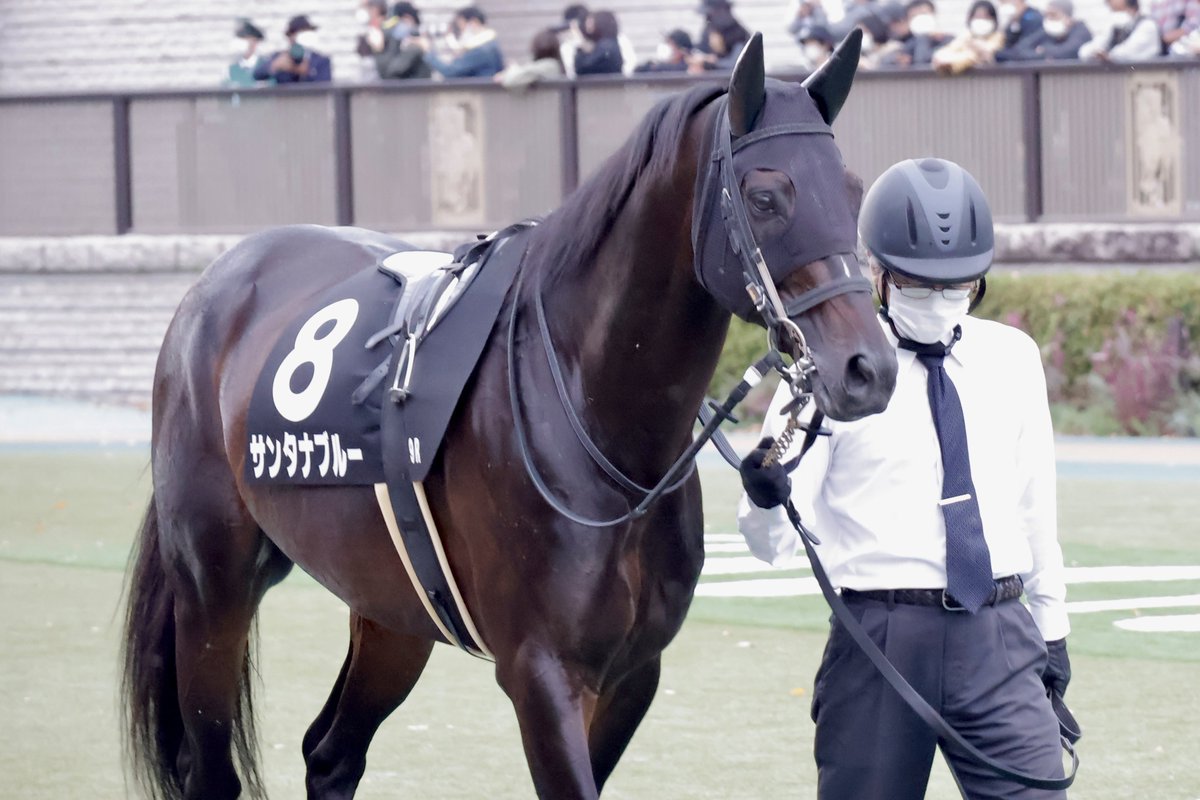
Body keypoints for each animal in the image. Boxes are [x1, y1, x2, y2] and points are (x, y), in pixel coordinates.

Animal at [121, 34, 897, 800]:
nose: (870, 369)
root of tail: (218, 283)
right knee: (212, 768)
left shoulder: (632, 675)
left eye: (852, 190)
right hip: (213, 592)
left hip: (392, 608)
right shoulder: (542, 673)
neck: (598, 426)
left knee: (330, 754)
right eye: (766, 197)